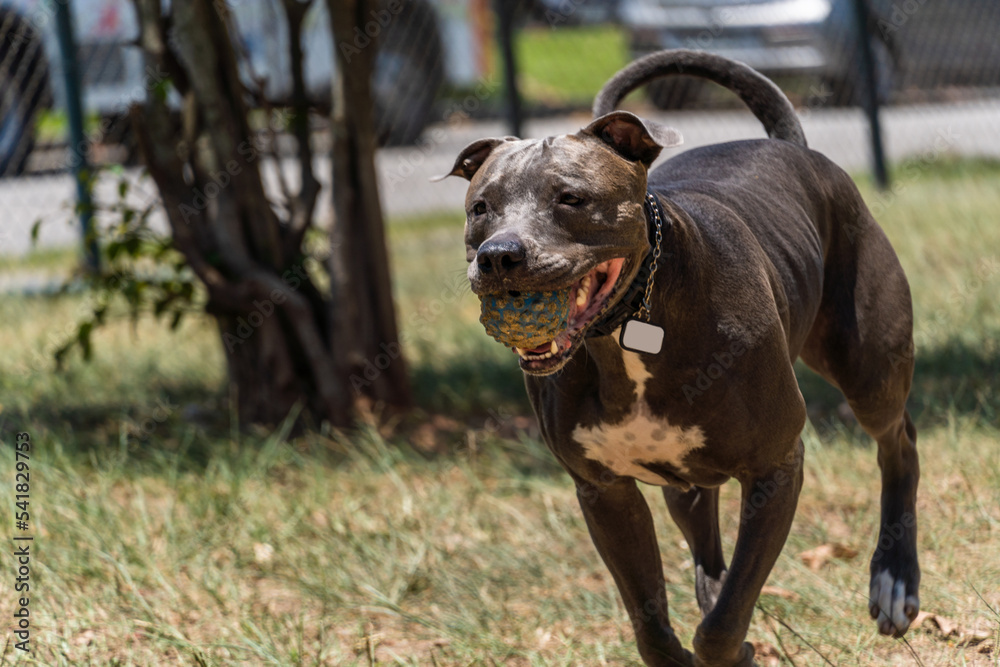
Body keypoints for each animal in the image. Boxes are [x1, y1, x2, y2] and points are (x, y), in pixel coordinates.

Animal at [440, 52, 920, 667]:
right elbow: (652, 624)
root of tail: (791, 145)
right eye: (480, 208)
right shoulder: (605, 493)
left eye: (570, 199)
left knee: (897, 443)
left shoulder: (776, 466)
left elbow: (724, 621)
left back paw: (894, 582)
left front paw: (727, 645)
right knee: (706, 544)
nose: (499, 255)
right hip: (684, 479)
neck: (628, 329)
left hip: (868, 365)